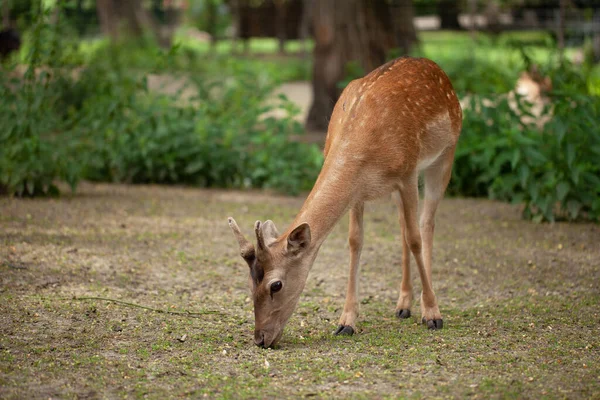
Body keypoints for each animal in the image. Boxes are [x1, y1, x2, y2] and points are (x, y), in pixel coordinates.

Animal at [227, 55, 462, 346]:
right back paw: (403, 305)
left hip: (444, 155)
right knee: (402, 226)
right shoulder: (359, 191)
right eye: (250, 282)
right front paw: (346, 322)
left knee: (425, 223)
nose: (260, 339)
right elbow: (355, 241)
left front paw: (432, 314)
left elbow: (415, 239)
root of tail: (436, 68)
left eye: (276, 285)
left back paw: (423, 306)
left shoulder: (407, 173)